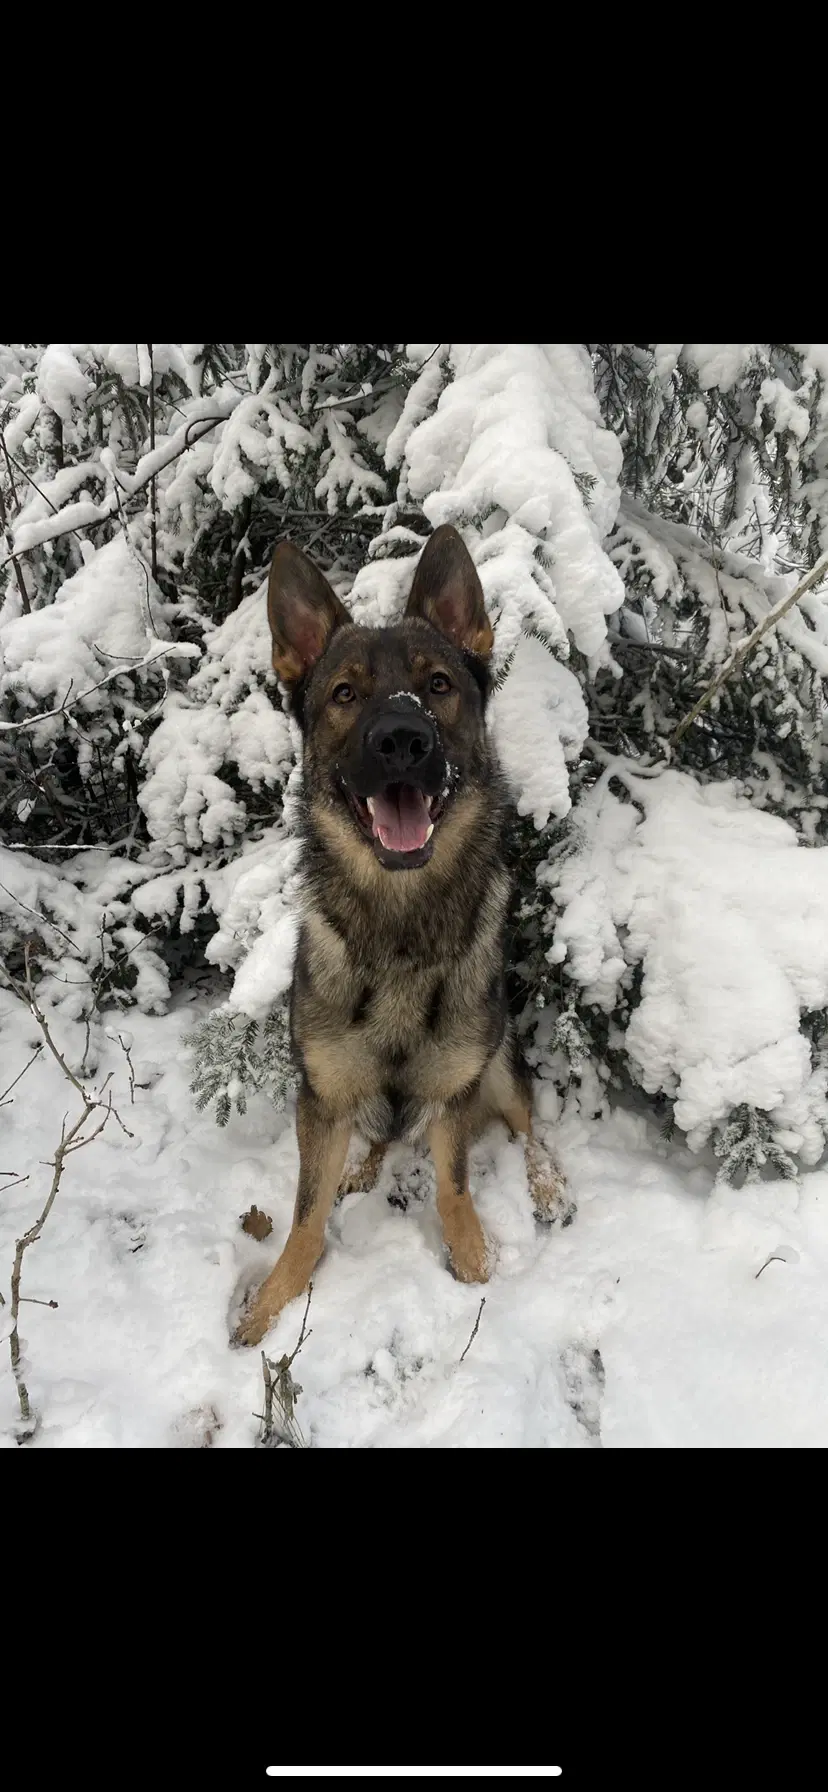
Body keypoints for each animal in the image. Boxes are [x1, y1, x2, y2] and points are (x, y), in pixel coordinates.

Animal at [232, 519, 569, 1347]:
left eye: (438, 685)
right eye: (345, 694)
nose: (401, 740)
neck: (399, 931)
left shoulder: (454, 1093)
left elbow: (454, 1190)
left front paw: (477, 1265)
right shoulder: (320, 1095)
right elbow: (305, 1217)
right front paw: (271, 1304)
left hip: (499, 1061)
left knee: (529, 1126)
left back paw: (546, 1184)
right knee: (375, 1134)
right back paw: (361, 1164)